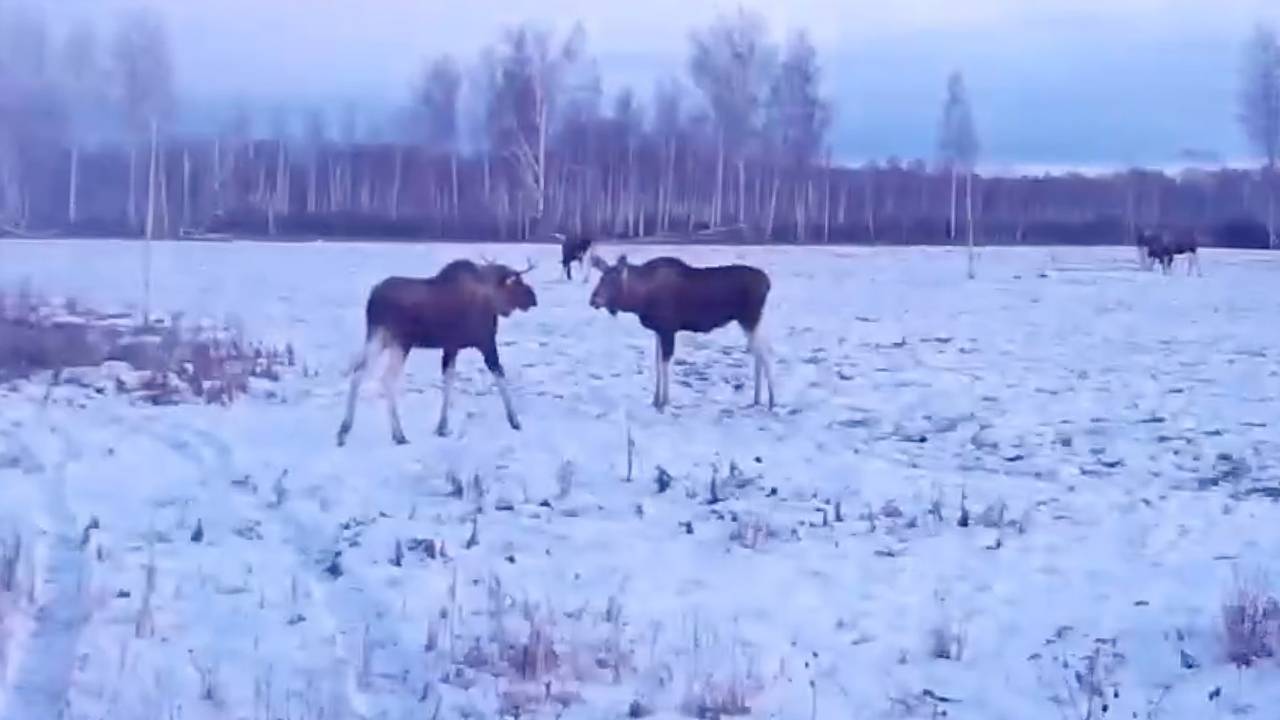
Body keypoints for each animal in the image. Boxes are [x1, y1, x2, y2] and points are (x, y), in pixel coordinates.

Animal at [335, 254, 535, 445]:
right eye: (517, 282)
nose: (534, 298)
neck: (492, 299)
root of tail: (373, 300)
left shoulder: (451, 346)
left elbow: (448, 381)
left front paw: (442, 427)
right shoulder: (485, 342)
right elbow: (499, 375)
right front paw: (514, 421)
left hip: (377, 337)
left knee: (358, 371)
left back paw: (344, 430)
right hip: (400, 342)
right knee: (386, 379)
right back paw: (399, 434)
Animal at [586, 252, 773, 409]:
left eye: (612, 280)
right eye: (601, 278)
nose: (593, 300)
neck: (639, 300)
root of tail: (767, 282)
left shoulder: (668, 329)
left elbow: (664, 363)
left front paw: (664, 401)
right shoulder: (659, 330)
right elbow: (657, 362)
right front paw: (655, 399)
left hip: (750, 317)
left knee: (764, 352)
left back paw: (771, 399)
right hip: (748, 320)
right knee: (757, 352)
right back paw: (757, 398)